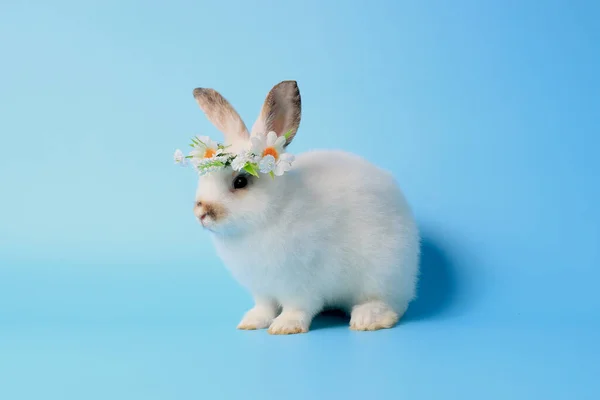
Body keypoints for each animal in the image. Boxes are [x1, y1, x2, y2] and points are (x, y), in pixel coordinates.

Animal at [190, 79, 420, 332]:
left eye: (240, 182)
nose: (201, 212)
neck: (272, 212)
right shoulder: (262, 289)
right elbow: (264, 307)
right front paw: (251, 322)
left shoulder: (300, 284)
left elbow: (297, 307)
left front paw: (285, 327)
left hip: (383, 275)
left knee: (388, 304)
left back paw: (367, 319)